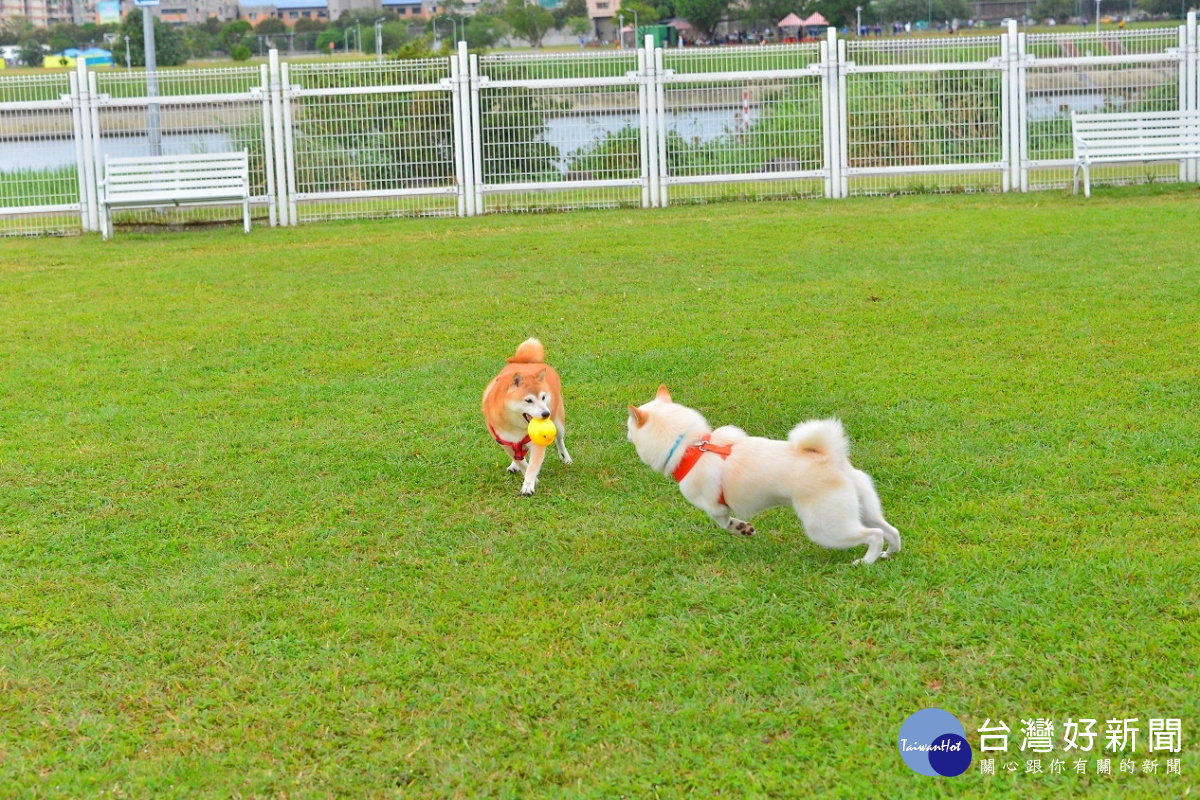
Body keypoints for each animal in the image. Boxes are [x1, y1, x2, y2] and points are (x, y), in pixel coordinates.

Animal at [482, 335, 571, 494]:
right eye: (528, 400)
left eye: (543, 397)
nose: (546, 413)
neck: (515, 426)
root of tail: (530, 362)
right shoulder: (504, 442)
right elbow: (522, 462)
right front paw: (529, 477)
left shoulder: (537, 443)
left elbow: (532, 465)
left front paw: (529, 484)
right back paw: (514, 465)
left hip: (559, 423)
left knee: (559, 440)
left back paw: (565, 457)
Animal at [628, 386, 902, 563]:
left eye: (629, 425)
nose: (626, 434)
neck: (690, 446)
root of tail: (831, 459)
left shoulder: (713, 506)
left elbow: (723, 522)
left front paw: (741, 528)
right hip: (863, 508)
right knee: (890, 530)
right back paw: (890, 553)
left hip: (826, 528)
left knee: (874, 535)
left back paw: (866, 562)